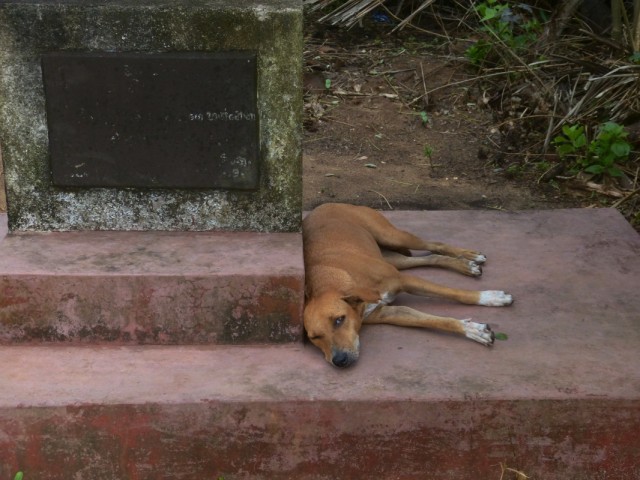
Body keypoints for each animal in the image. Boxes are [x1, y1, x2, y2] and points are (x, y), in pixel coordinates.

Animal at [303, 203, 513, 368]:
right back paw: (465, 264)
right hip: (392, 258)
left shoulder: (405, 281)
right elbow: (432, 320)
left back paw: (469, 255)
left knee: (434, 244)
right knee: (430, 257)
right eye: (314, 337)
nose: (339, 361)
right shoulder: (389, 313)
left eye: (339, 320)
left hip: (391, 236)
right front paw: (472, 330)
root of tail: (323, 205)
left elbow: (454, 293)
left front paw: (490, 297)